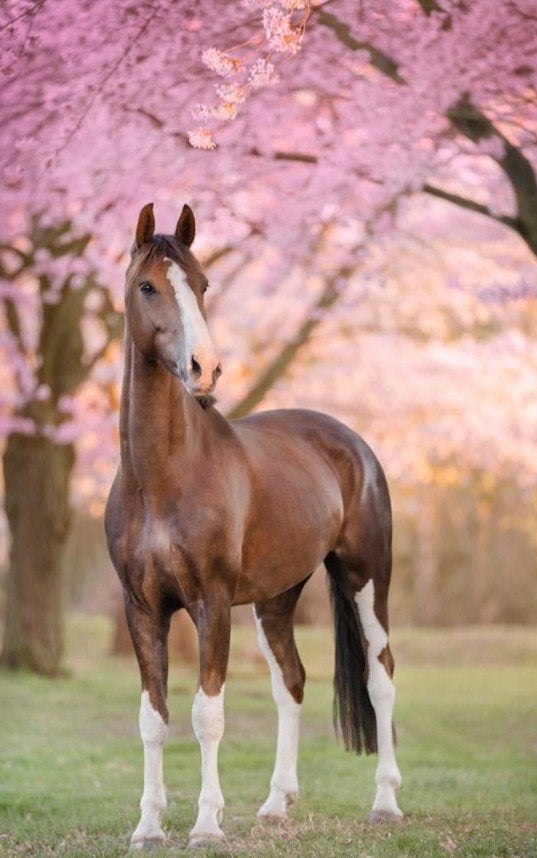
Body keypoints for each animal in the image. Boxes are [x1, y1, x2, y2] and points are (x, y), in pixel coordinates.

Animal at [105, 203, 403, 849]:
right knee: (290, 683)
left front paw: (206, 825)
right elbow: (153, 718)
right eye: (147, 287)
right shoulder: (142, 608)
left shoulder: (211, 603)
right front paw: (148, 826)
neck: (163, 477)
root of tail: (351, 443)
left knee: (381, 677)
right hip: (276, 599)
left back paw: (387, 804)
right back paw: (275, 805)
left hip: (367, 578)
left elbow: (206, 715)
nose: (205, 367)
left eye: (204, 284)